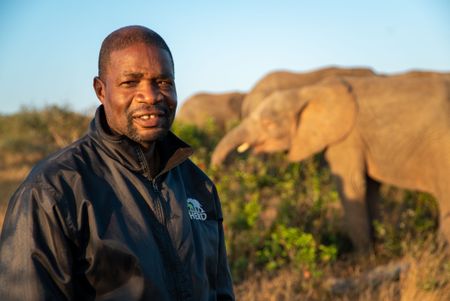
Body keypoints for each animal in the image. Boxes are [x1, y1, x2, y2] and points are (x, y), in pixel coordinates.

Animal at [212, 72, 450, 251]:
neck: (308, 91)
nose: (215, 170)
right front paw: (377, 252)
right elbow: (370, 188)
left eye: (268, 123)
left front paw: (364, 257)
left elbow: (353, 185)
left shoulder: (347, 138)